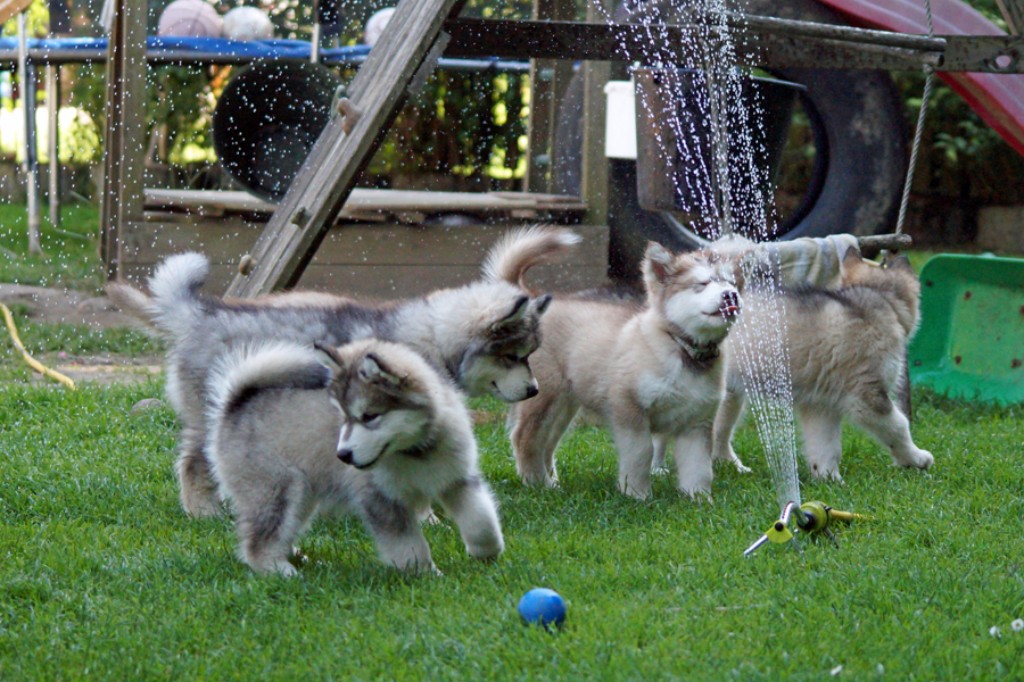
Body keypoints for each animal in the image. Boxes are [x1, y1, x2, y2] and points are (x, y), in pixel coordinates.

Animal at [107, 225, 576, 518]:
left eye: (531, 354)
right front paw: (426, 518)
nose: (534, 391)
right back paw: (202, 512)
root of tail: (199, 315)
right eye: (514, 356)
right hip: (210, 414)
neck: (435, 340)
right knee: (193, 463)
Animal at [206, 338, 504, 577]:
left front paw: (486, 552)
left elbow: (481, 519)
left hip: (302, 497)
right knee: (259, 541)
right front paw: (425, 575)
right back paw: (281, 571)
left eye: (369, 416)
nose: (343, 455)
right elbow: (408, 545)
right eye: (343, 416)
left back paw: (301, 559)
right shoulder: (380, 499)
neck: (414, 453)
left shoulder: (457, 478)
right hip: (278, 489)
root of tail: (235, 403)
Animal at [508, 242, 743, 500]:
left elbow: (699, 466)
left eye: (731, 283)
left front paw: (699, 499)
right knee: (525, 438)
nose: (731, 295)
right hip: (545, 395)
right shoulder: (628, 406)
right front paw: (637, 494)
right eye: (702, 284)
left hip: (565, 405)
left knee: (547, 444)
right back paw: (539, 484)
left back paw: (553, 484)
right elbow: (641, 452)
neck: (684, 350)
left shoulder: (698, 421)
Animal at [711, 248, 934, 480]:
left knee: (719, 430)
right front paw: (916, 458)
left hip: (729, 395)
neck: (881, 297)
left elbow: (825, 445)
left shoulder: (821, 405)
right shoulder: (867, 396)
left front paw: (829, 479)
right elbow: (899, 426)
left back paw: (730, 465)